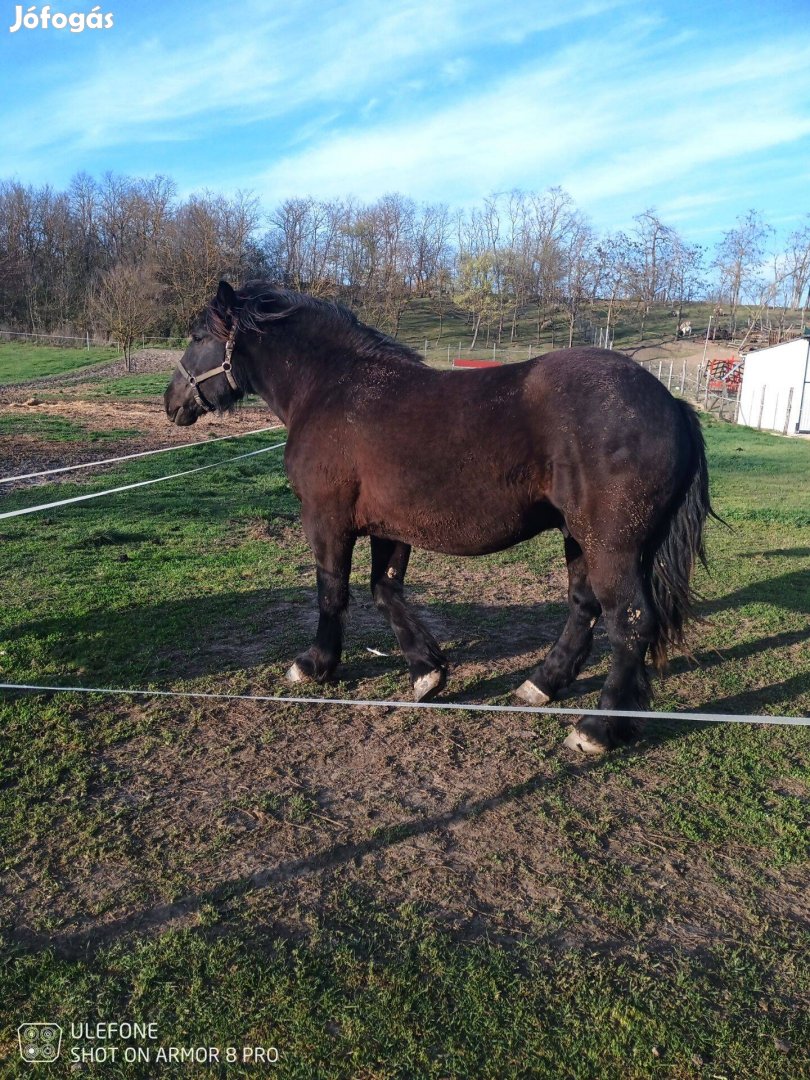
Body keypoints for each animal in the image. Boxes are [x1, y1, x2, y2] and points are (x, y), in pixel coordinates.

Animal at [164, 281, 715, 755]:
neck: (331, 389)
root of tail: (671, 403)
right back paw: (541, 685)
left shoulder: (326, 520)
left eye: (197, 338)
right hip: (579, 538)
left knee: (630, 622)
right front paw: (427, 671)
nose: (171, 402)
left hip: (611, 545)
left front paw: (316, 666)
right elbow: (385, 592)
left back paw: (597, 728)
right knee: (584, 607)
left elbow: (332, 593)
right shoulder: (389, 528)